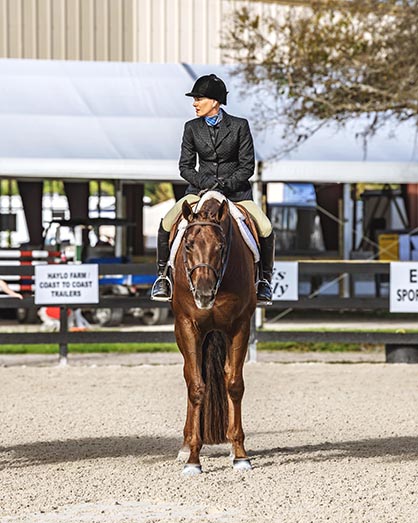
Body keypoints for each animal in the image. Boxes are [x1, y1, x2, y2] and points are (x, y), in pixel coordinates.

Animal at [171, 191, 256, 474]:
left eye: (221, 247)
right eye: (188, 245)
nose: (204, 294)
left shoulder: (240, 325)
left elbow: (234, 384)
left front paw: (240, 454)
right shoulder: (188, 326)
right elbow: (197, 386)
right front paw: (193, 459)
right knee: (190, 377)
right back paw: (185, 446)